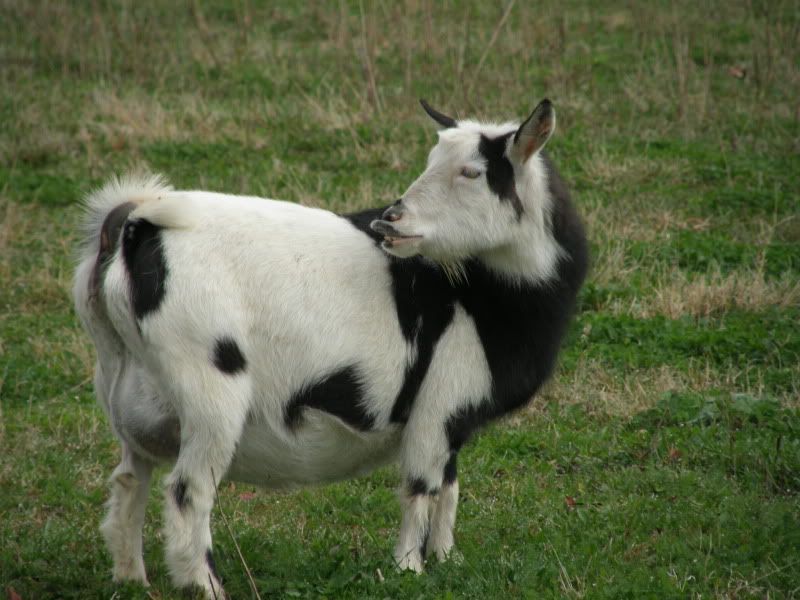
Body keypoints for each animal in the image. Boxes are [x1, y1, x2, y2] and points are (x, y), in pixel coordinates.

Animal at [73, 99, 588, 598]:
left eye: (472, 172)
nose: (390, 220)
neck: (479, 294)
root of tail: (135, 228)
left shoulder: (454, 421)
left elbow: (449, 487)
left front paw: (447, 561)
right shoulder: (438, 404)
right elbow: (422, 487)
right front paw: (409, 570)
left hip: (128, 392)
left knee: (130, 480)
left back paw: (132, 579)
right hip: (210, 392)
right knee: (188, 492)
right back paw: (206, 586)